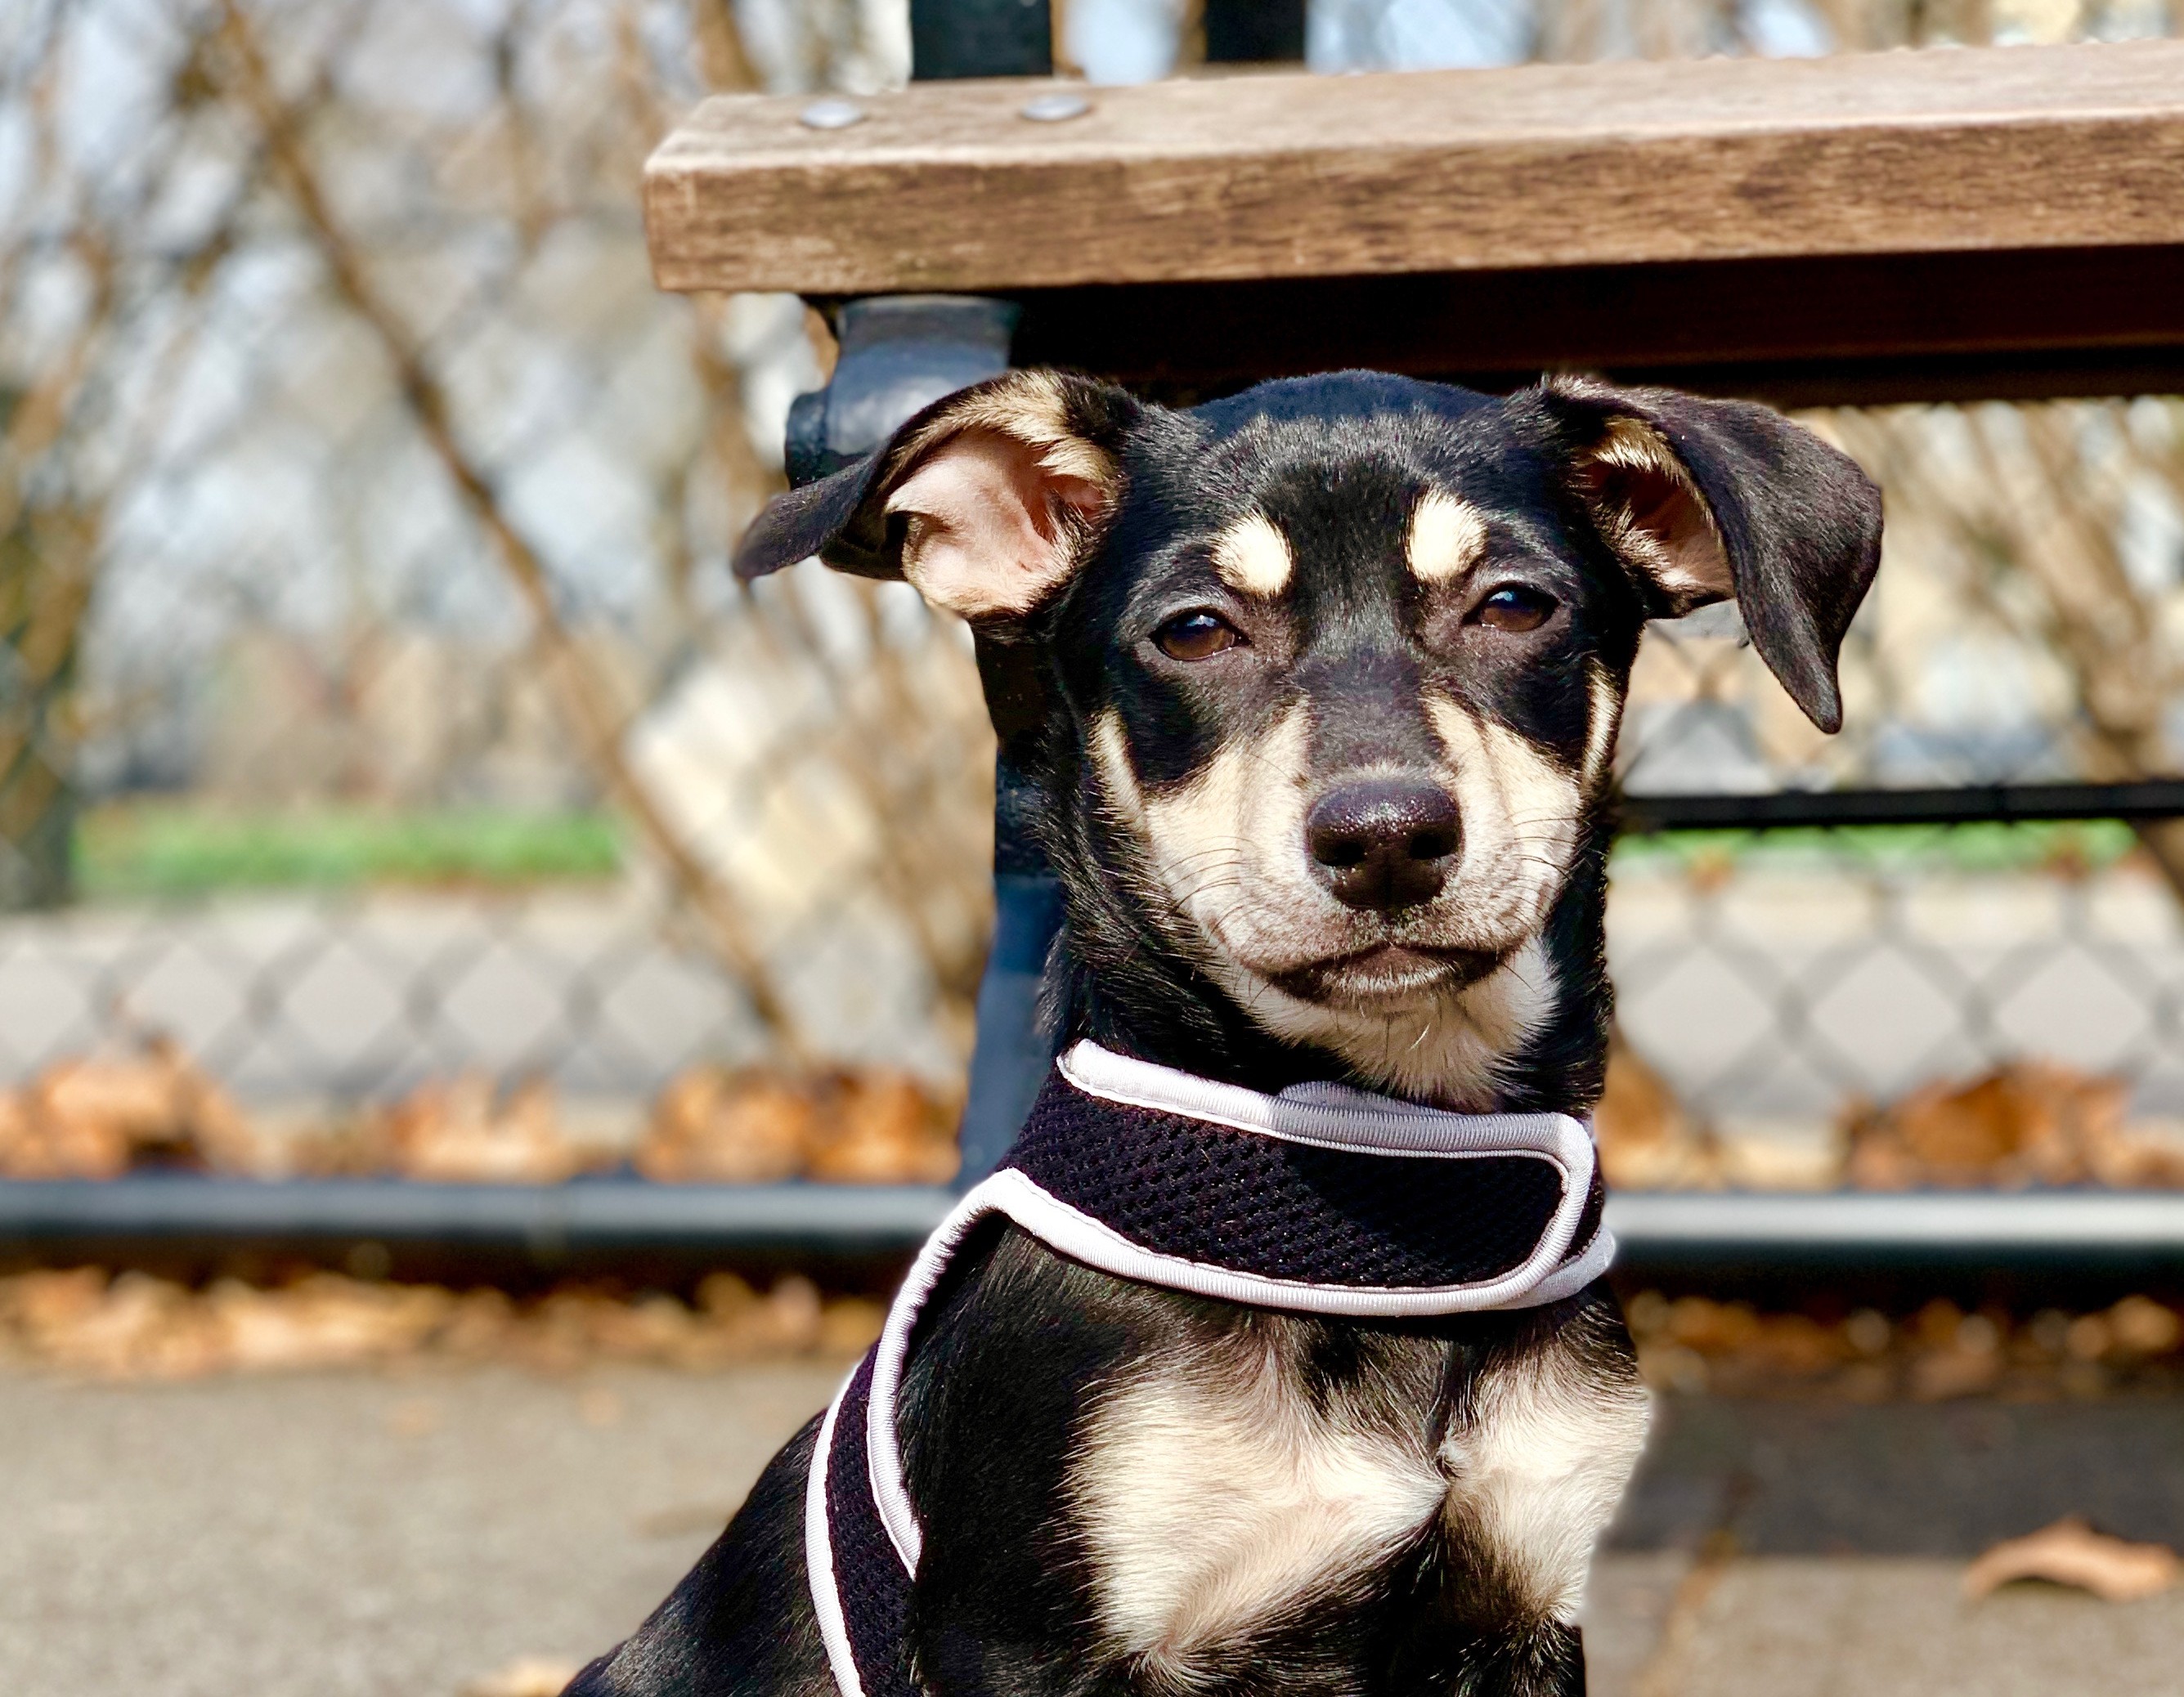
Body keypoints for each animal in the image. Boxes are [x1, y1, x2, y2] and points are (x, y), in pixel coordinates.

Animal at [568, 369, 1881, 1697]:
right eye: (1195, 631)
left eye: (1514, 606)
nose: (1387, 837)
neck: (1379, 1223)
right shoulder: (1025, 1635)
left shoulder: (1521, 1594)